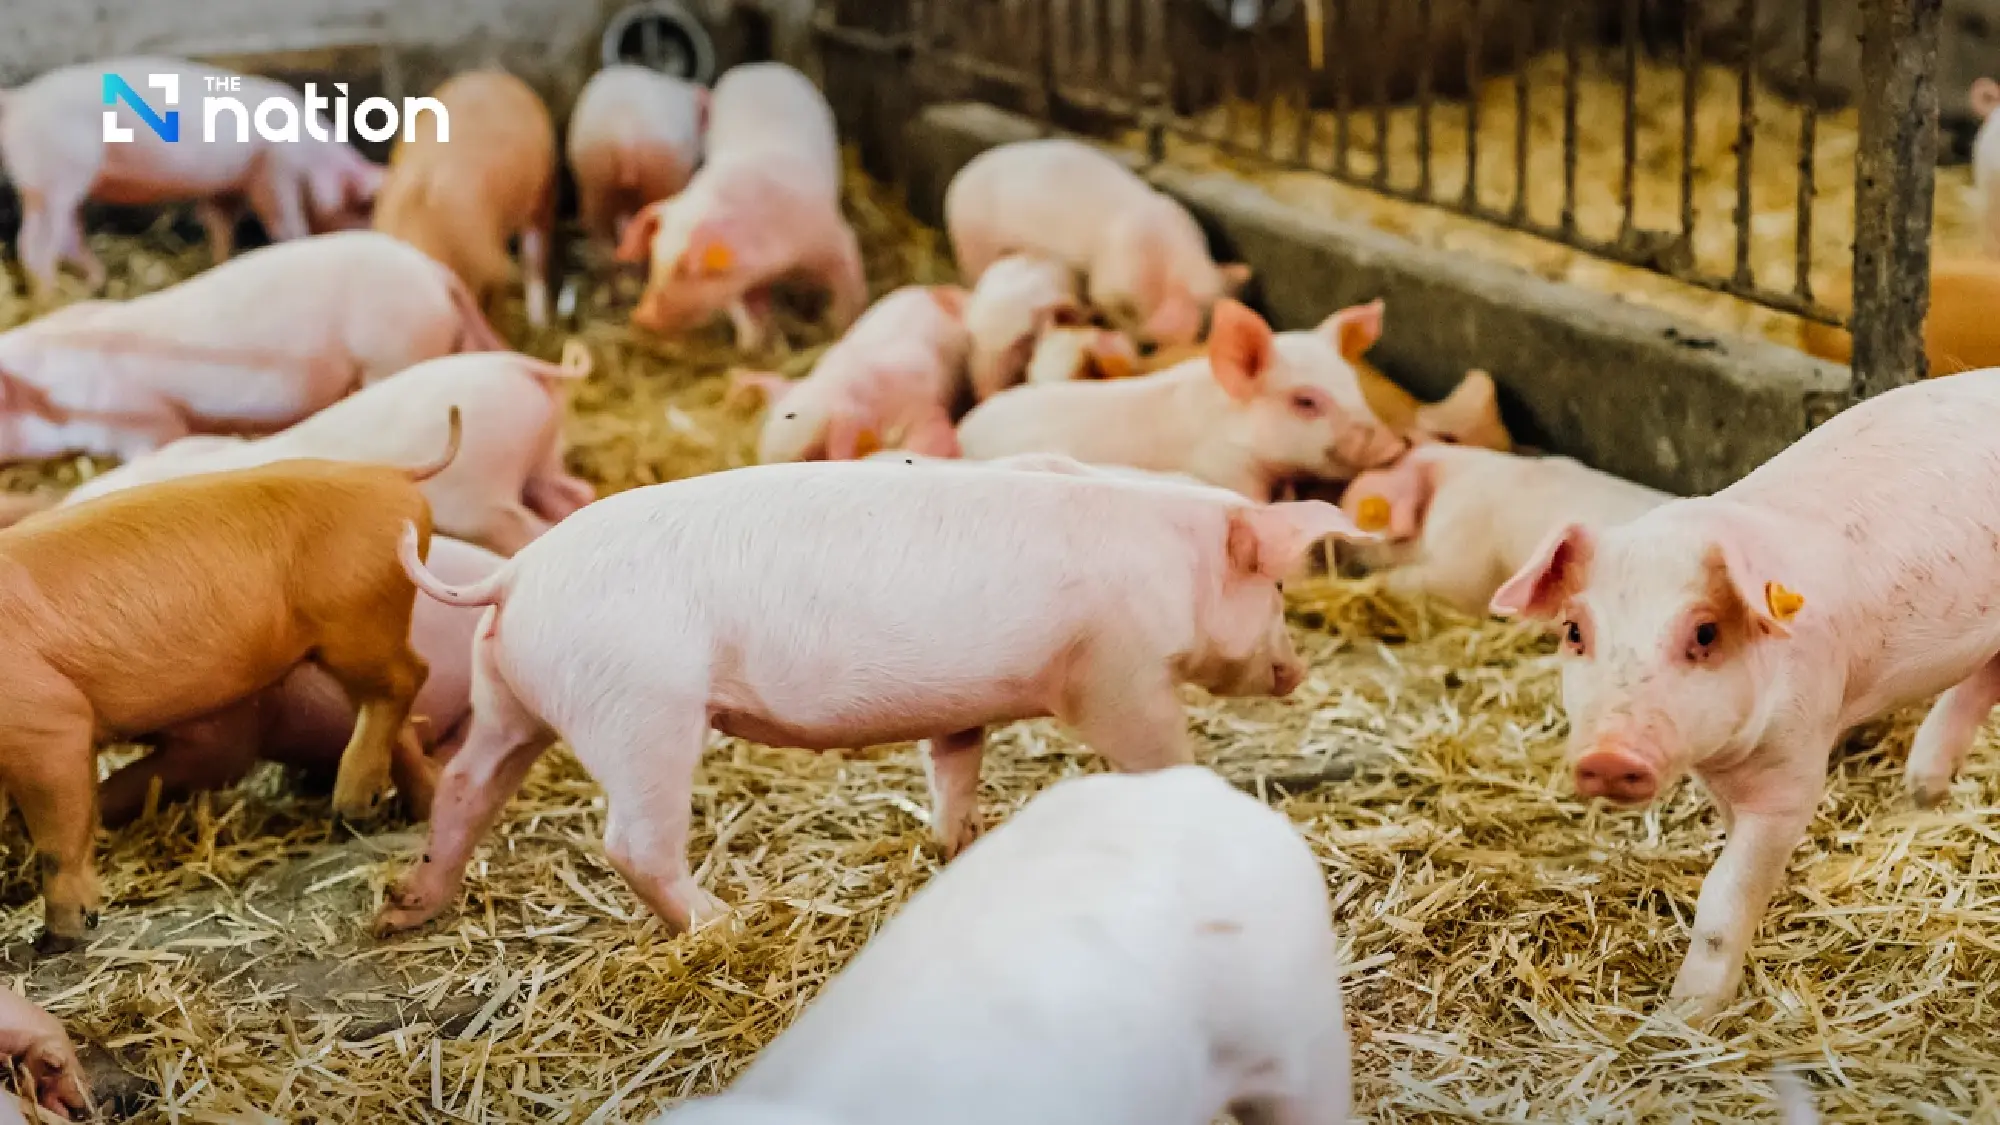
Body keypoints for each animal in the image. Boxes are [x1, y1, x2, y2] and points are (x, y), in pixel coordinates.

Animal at [0, 57, 380, 293]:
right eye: (363, 208)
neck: (317, 156)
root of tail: (20, 99)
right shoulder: (275, 173)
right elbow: (284, 223)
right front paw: (298, 244)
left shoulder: (226, 186)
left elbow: (219, 222)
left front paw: (221, 261)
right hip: (55, 177)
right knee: (33, 246)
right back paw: (50, 296)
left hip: (54, 186)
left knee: (67, 235)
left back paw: (95, 282)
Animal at [0, 419, 458, 947]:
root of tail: (393, 475)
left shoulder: (47, 720)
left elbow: (58, 836)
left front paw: (56, 939)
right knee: (396, 715)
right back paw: (403, 807)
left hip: (360, 623)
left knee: (409, 678)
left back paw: (350, 807)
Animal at [370, 458, 1368, 936]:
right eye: (1280, 587)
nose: (1295, 670)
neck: (1173, 561)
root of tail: (515, 574)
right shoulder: (1117, 672)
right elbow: (1156, 751)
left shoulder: (970, 707)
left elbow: (955, 762)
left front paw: (958, 844)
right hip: (641, 708)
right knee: (632, 841)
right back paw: (725, 923)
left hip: (514, 695)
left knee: (466, 783)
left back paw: (407, 904)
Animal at [616, 63, 865, 350]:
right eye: (655, 256)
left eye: (685, 269)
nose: (641, 316)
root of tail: (756, 67)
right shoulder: (738, 277)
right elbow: (742, 309)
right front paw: (754, 343)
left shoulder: (835, 236)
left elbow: (850, 289)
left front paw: (840, 329)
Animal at [1488, 369, 2000, 1019]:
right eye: (1574, 631)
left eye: (1705, 633)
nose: (1608, 756)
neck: (1725, 761)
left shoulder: (1794, 767)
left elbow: (1724, 895)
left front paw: (1684, 1016)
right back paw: (1924, 792)